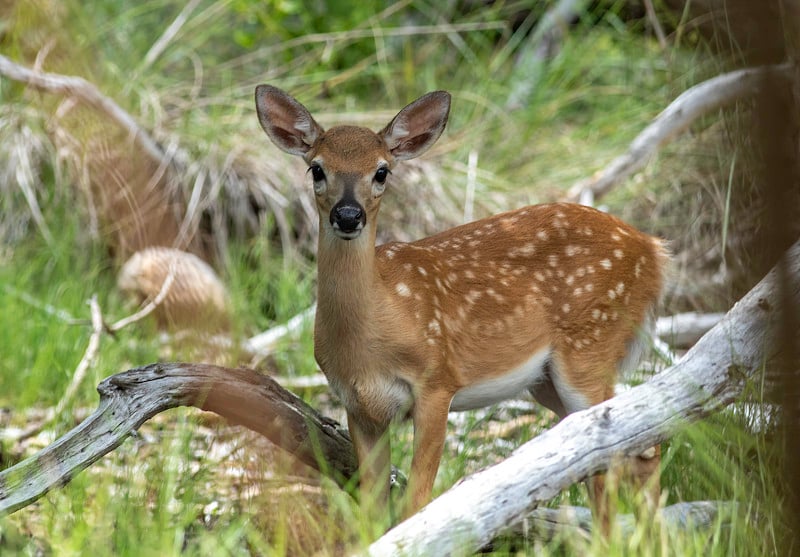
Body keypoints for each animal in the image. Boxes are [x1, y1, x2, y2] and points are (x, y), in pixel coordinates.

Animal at [256, 84, 668, 528]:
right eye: (317, 169)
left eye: (382, 171)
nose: (348, 215)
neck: (375, 330)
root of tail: (654, 250)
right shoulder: (359, 406)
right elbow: (372, 510)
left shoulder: (437, 380)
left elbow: (416, 502)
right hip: (546, 381)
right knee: (635, 450)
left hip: (591, 345)